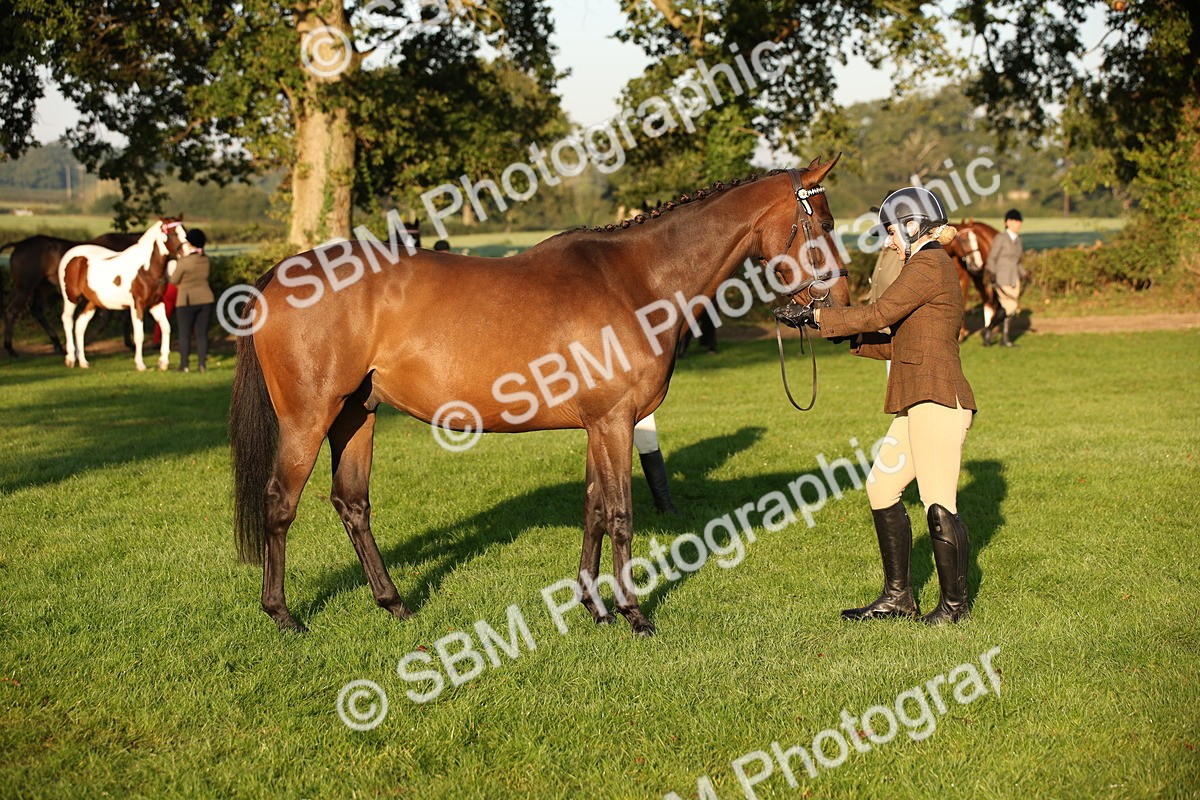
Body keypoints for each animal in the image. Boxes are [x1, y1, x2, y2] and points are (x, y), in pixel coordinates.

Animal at [2, 233, 141, 357]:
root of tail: (19, 244)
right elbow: (106, 320)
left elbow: (122, 318)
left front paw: (130, 344)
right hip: (25, 288)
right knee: (12, 311)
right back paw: (10, 349)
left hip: (42, 287)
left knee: (37, 311)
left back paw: (58, 345)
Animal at [58, 218, 188, 370]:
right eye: (173, 233)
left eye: (184, 231)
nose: (188, 251)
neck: (145, 269)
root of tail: (71, 255)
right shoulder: (137, 305)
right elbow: (139, 335)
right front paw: (140, 365)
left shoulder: (156, 303)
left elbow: (166, 328)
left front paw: (163, 363)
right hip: (71, 298)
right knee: (68, 320)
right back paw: (70, 359)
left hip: (92, 302)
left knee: (80, 325)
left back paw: (83, 362)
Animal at [228, 157, 851, 636]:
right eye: (821, 222)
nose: (842, 301)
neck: (635, 281)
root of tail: (280, 275)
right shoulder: (615, 421)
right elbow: (620, 514)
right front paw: (634, 614)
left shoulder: (600, 425)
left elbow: (593, 508)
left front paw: (594, 607)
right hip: (309, 418)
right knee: (280, 504)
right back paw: (282, 614)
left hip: (356, 415)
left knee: (352, 503)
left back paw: (394, 604)